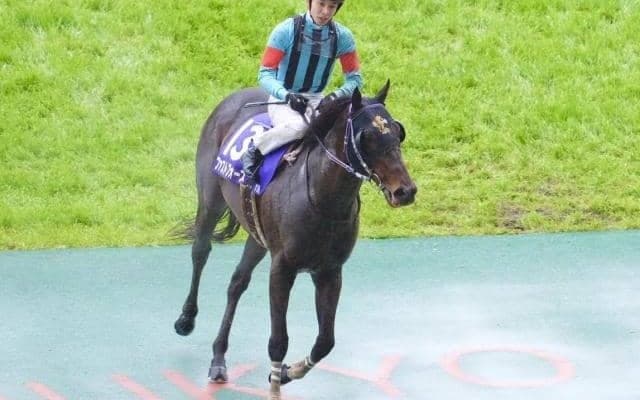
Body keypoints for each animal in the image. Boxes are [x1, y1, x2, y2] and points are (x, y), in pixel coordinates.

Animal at [174, 80, 417, 400]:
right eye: (366, 137)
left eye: (397, 131)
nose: (405, 191)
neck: (322, 197)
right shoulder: (282, 269)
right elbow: (278, 340)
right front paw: (277, 385)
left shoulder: (329, 271)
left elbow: (325, 341)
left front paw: (288, 372)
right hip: (210, 199)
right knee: (200, 251)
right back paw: (186, 318)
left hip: (257, 236)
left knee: (237, 282)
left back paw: (218, 358)